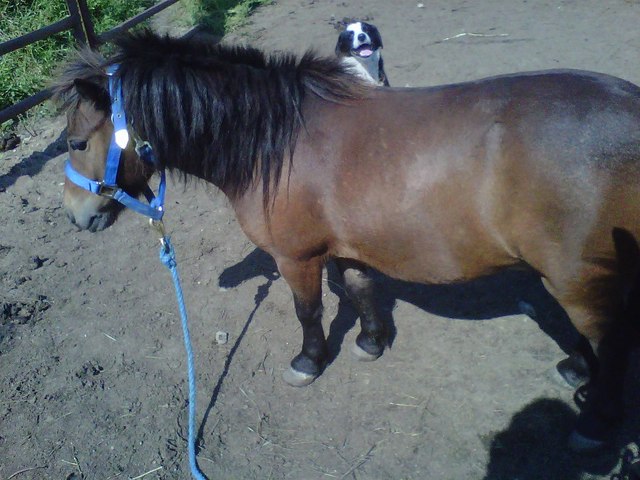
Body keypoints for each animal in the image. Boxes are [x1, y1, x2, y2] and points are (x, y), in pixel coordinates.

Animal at [52, 29, 640, 451]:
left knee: (615, 345)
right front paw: (371, 342)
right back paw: (576, 372)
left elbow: (308, 312)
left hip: (577, 280)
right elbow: (359, 291)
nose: (75, 215)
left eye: (78, 142)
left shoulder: (296, 257)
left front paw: (309, 361)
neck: (277, 142)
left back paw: (594, 424)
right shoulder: (348, 247)